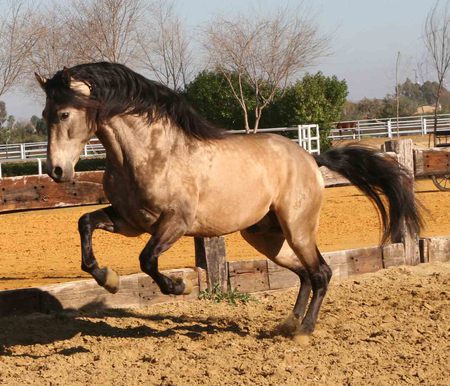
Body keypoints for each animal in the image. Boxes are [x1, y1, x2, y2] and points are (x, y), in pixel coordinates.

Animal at [35, 61, 422, 336]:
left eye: (65, 113)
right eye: (44, 115)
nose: (56, 170)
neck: (148, 153)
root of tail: (310, 158)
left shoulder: (175, 223)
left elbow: (147, 260)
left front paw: (178, 285)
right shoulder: (129, 221)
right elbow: (85, 223)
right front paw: (107, 278)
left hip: (297, 229)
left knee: (322, 273)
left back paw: (305, 330)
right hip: (266, 237)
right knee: (304, 274)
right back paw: (288, 324)